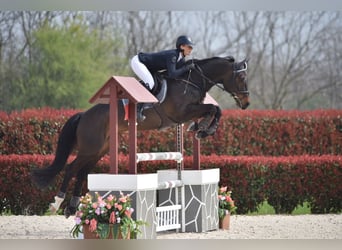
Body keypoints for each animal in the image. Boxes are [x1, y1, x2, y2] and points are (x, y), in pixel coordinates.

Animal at [30, 56, 248, 217]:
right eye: (241, 78)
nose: (246, 103)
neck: (191, 81)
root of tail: (83, 115)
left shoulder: (189, 111)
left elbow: (215, 110)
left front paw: (201, 128)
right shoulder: (181, 113)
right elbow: (214, 108)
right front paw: (203, 129)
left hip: (99, 150)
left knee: (82, 172)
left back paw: (72, 207)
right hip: (90, 148)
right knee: (71, 169)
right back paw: (57, 204)